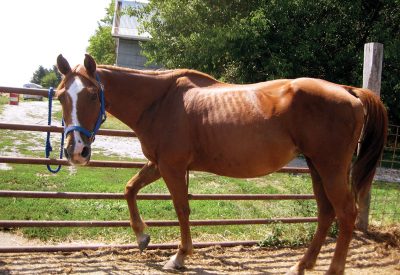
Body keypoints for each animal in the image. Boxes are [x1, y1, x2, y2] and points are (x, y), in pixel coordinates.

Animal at [54, 54, 386, 275]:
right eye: (60, 97)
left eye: (93, 95)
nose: (76, 150)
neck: (161, 101)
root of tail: (349, 91)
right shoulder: (158, 164)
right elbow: (129, 189)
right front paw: (142, 237)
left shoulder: (172, 167)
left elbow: (182, 209)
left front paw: (179, 257)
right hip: (318, 167)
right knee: (326, 213)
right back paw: (301, 265)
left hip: (330, 168)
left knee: (346, 213)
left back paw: (331, 269)